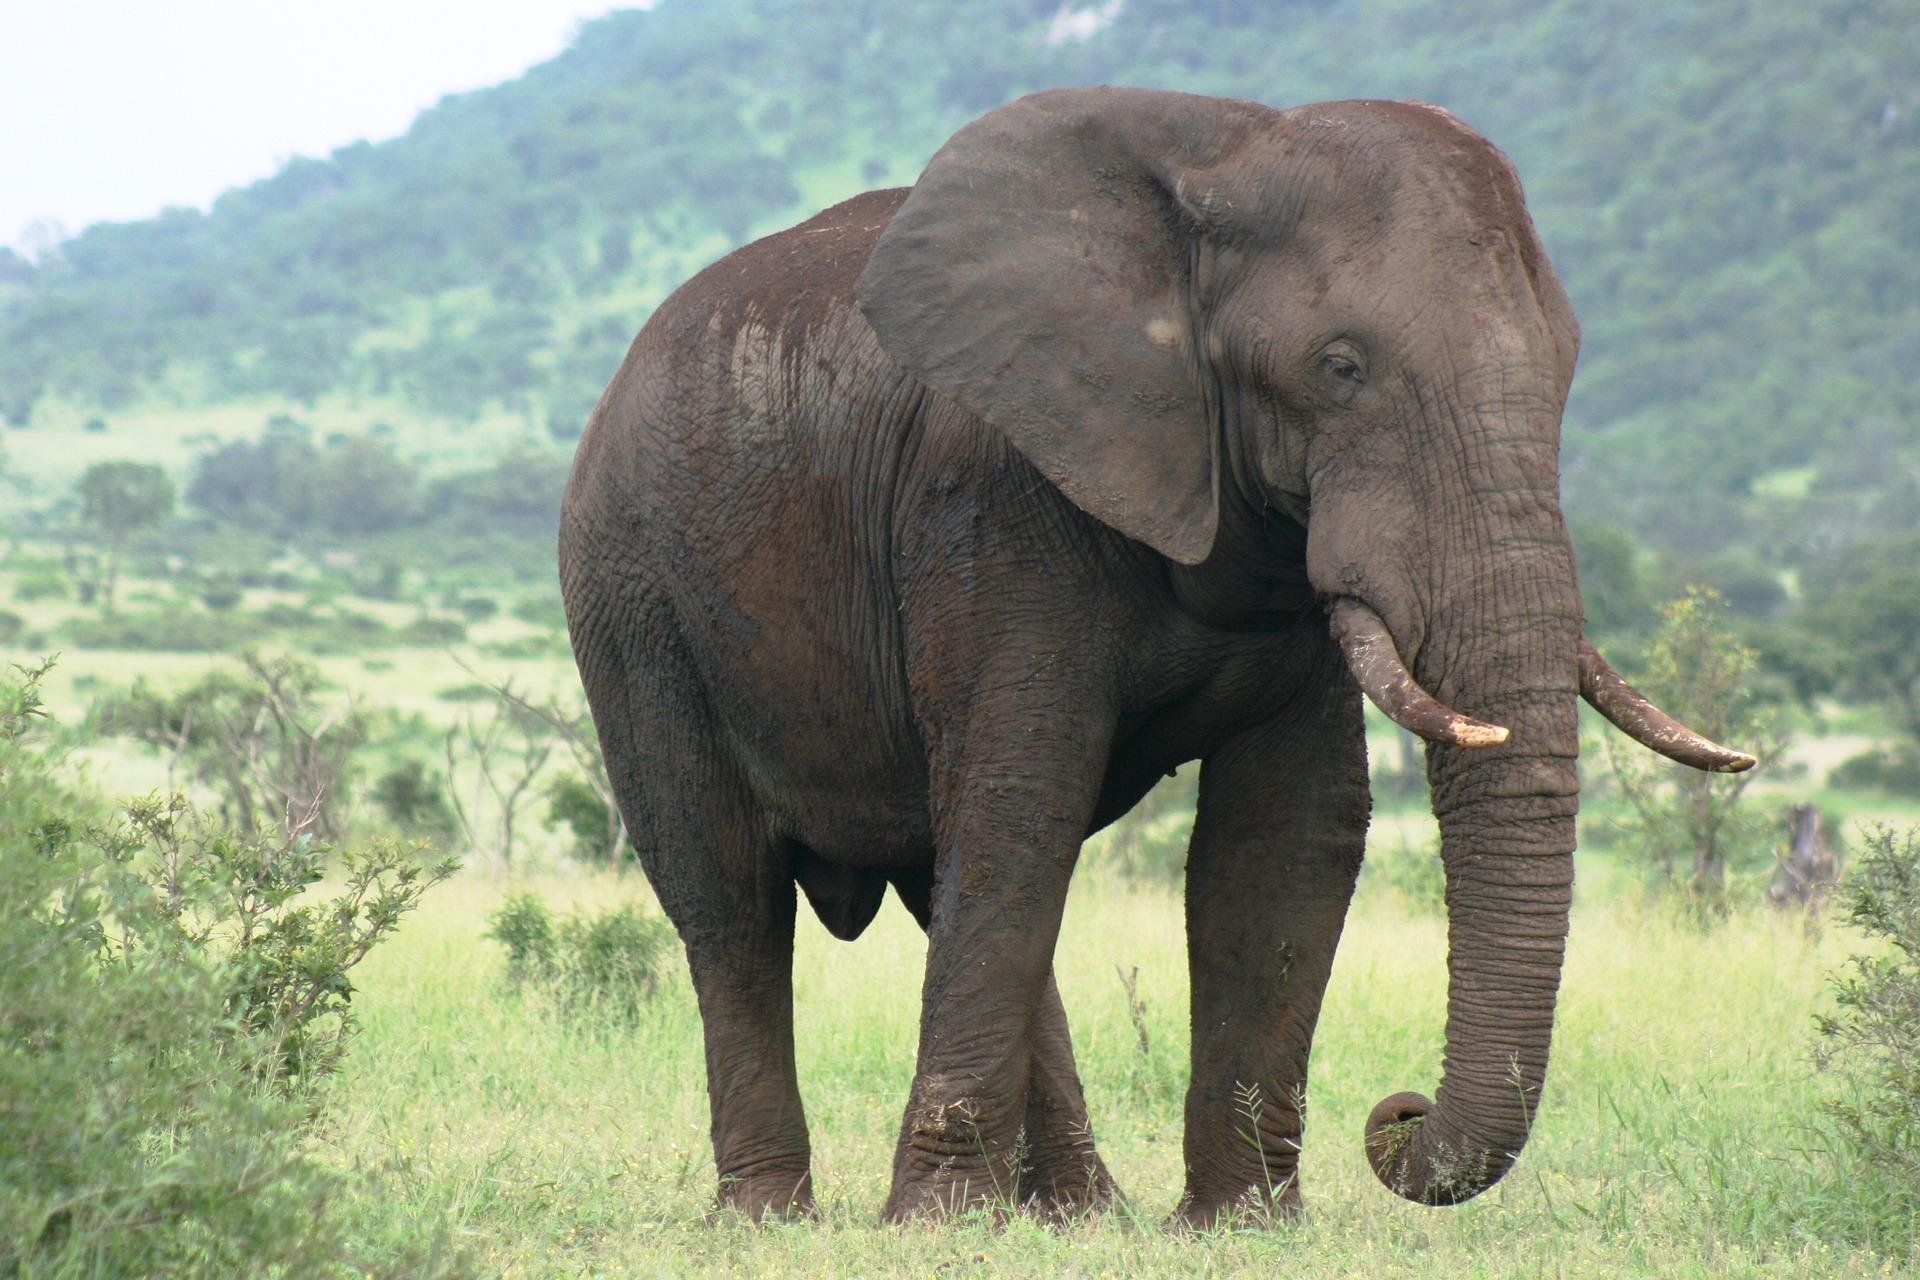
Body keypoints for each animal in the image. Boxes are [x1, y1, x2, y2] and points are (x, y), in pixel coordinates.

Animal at [556, 84, 1758, 1228]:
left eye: (1568, 370)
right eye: (1341, 366)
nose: (1398, 1114)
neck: (1220, 166)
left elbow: (1284, 836)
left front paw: (1240, 1226)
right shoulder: (995, 494)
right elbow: (1023, 796)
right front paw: (933, 1229)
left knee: (938, 873)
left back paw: (1078, 1214)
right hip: (631, 601)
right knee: (730, 894)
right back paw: (770, 1216)